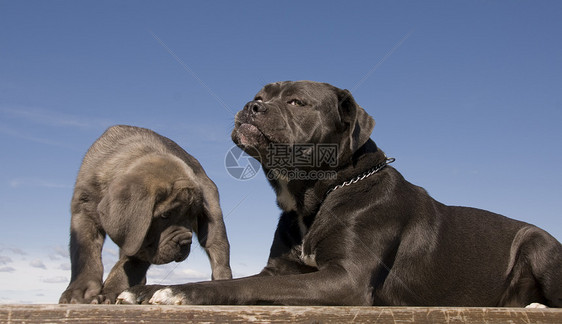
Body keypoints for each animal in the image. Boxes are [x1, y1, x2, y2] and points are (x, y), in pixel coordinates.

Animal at [59, 124, 230, 304]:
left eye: (193, 217)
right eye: (165, 215)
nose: (185, 242)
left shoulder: (141, 238)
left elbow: (129, 265)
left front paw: (111, 290)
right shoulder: (84, 210)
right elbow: (85, 254)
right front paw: (79, 291)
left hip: (214, 225)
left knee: (219, 255)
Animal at [117, 80, 556, 306]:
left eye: (296, 101)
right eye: (260, 94)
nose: (252, 105)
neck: (315, 197)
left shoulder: (345, 279)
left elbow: (244, 286)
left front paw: (178, 290)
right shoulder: (281, 270)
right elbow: (240, 280)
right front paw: (143, 290)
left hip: (538, 243)